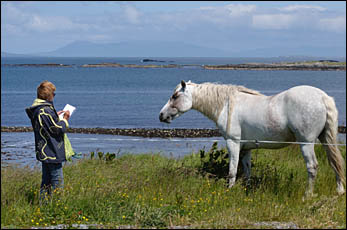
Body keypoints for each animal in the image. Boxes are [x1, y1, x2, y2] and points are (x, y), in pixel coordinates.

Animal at [160, 80, 346, 196]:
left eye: (175, 96)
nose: (161, 115)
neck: (226, 104)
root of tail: (322, 97)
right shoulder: (246, 147)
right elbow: (247, 169)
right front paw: (246, 190)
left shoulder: (233, 143)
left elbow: (232, 170)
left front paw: (230, 190)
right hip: (325, 139)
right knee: (334, 162)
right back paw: (339, 191)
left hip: (306, 143)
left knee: (312, 167)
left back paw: (308, 195)